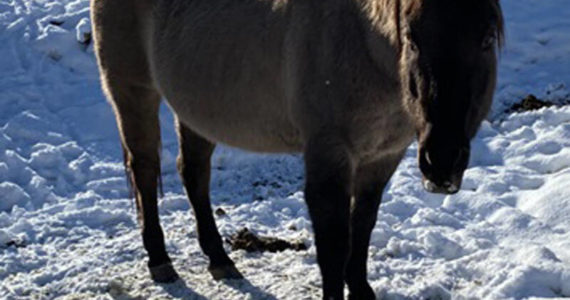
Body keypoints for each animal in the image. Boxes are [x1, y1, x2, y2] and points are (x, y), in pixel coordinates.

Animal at [91, 0, 504, 298]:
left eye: (486, 40)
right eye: (413, 39)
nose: (442, 160)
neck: (361, 43)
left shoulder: (382, 156)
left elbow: (363, 225)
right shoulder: (329, 155)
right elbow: (333, 244)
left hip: (193, 107)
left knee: (193, 173)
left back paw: (220, 259)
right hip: (132, 91)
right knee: (145, 169)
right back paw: (160, 261)